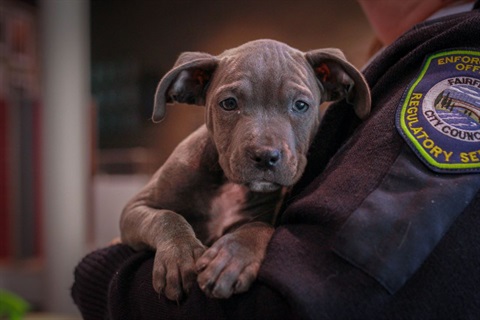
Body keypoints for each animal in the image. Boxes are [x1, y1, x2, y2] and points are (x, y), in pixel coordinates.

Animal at [120, 38, 372, 302]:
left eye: (301, 105)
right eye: (229, 104)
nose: (265, 156)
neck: (226, 183)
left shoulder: (256, 216)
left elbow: (259, 227)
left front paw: (233, 257)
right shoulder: (134, 208)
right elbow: (166, 217)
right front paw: (181, 256)